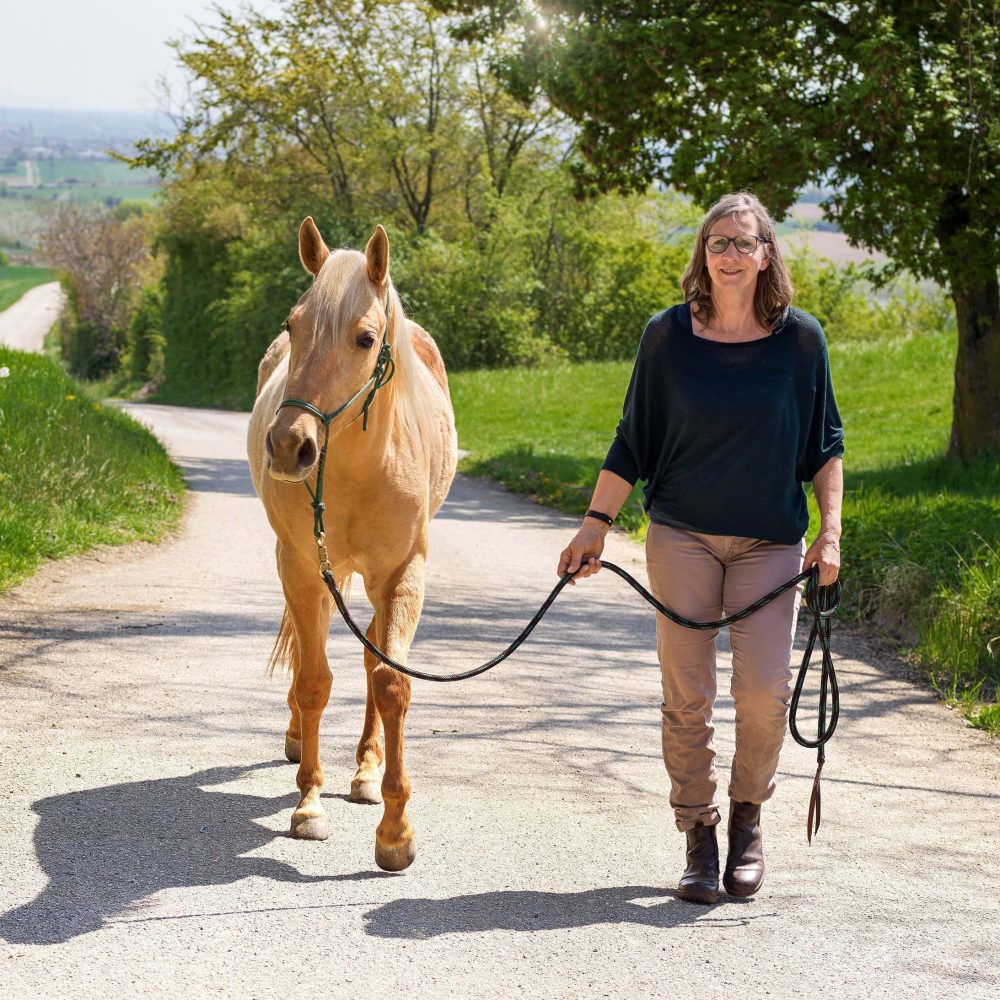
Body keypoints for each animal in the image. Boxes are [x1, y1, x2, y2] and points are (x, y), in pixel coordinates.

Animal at [246, 217, 458, 868]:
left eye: (365, 339)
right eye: (293, 326)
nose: (290, 446)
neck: (362, 467)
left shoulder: (404, 573)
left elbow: (391, 681)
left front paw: (394, 829)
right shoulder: (302, 566)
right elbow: (314, 681)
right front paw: (309, 806)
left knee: (369, 658)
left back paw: (365, 772)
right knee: (304, 658)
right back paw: (298, 741)